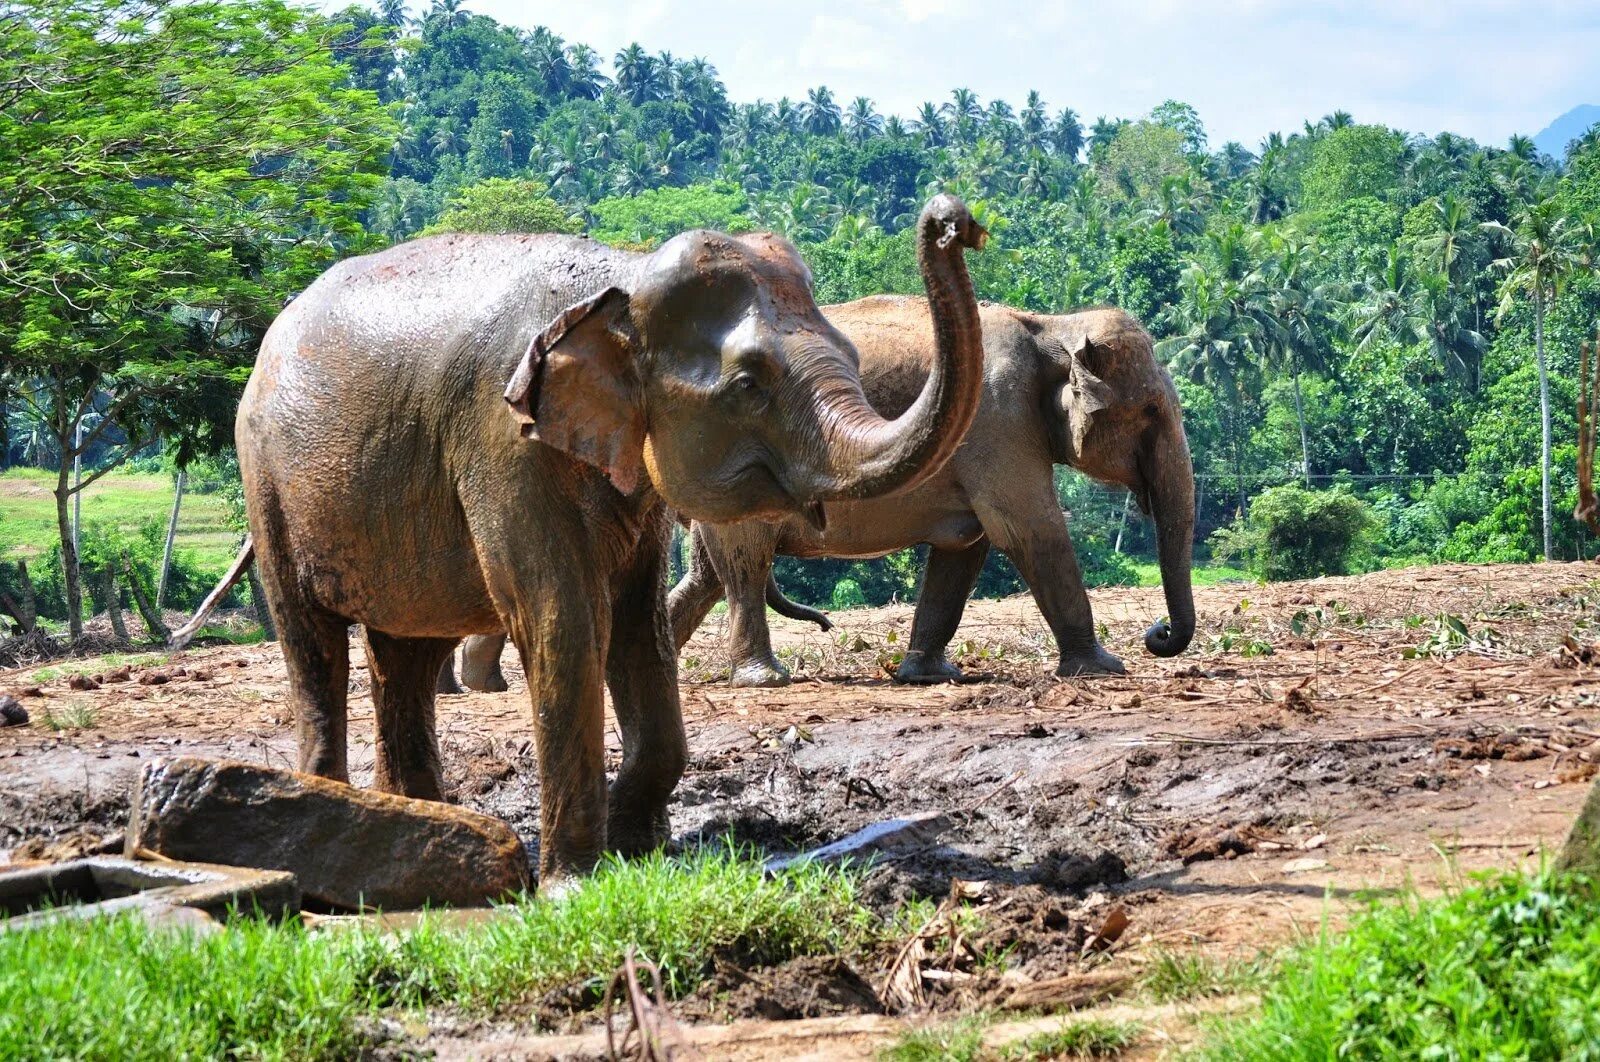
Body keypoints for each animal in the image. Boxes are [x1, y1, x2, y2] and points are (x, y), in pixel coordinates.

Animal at [236, 195, 985, 882]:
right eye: (749, 383)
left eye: (854, 353)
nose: (955, 221)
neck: (622, 277)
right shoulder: (501, 439)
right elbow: (564, 620)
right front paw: (573, 882)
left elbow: (637, 624)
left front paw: (641, 851)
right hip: (265, 480)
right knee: (313, 645)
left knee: (406, 652)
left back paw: (418, 824)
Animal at [665, 295, 1203, 687]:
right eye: (1151, 410)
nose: (1157, 633)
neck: (1050, 326)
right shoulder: (997, 420)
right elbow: (1031, 529)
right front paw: (1103, 668)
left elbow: (964, 549)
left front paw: (929, 676)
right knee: (745, 563)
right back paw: (764, 679)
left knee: (708, 575)